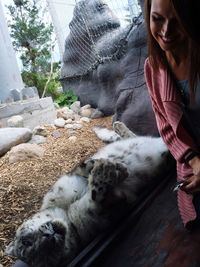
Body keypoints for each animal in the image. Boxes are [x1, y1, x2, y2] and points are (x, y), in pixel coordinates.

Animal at [5, 122, 174, 267]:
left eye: (26, 241)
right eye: (48, 256)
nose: (49, 236)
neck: (67, 210)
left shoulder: (68, 180)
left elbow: (84, 167)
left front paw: (106, 166)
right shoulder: (108, 207)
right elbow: (97, 195)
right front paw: (107, 171)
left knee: (132, 136)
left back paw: (116, 126)